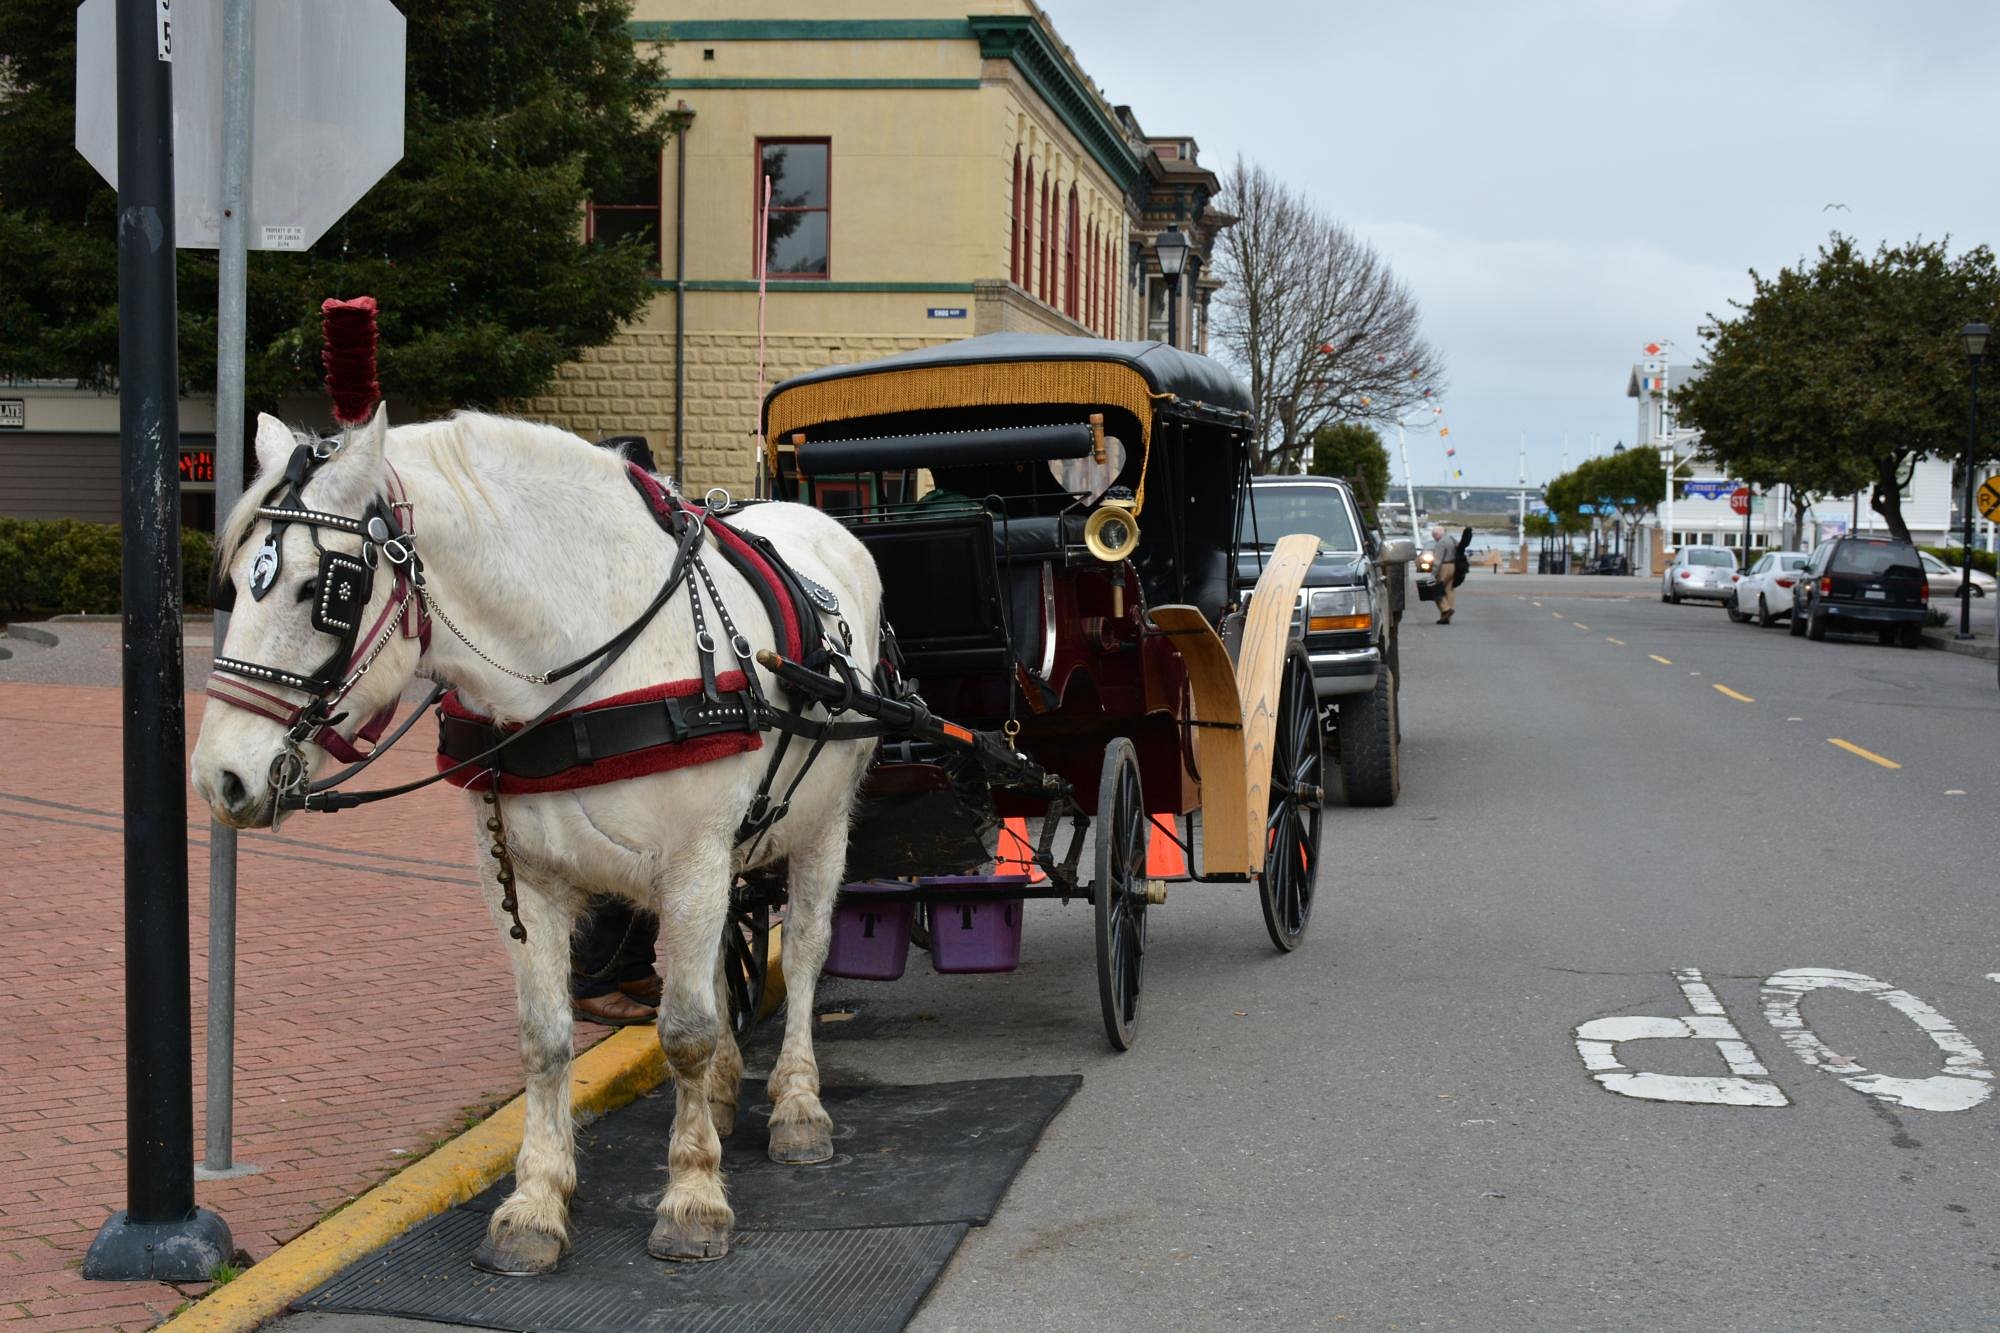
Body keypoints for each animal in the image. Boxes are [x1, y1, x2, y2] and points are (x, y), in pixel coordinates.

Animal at [193, 404, 884, 1264]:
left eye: (323, 590)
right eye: (235, 583)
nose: (218, 776)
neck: (582, 665)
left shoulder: (693, 860)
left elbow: (685, 1030)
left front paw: (693, 1195)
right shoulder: (523, 875)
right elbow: (546, 1035)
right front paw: (536, 1200)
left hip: (826, 823)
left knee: (813, 951)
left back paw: (796, 1103)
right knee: (728, 965)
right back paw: (727, 1088)